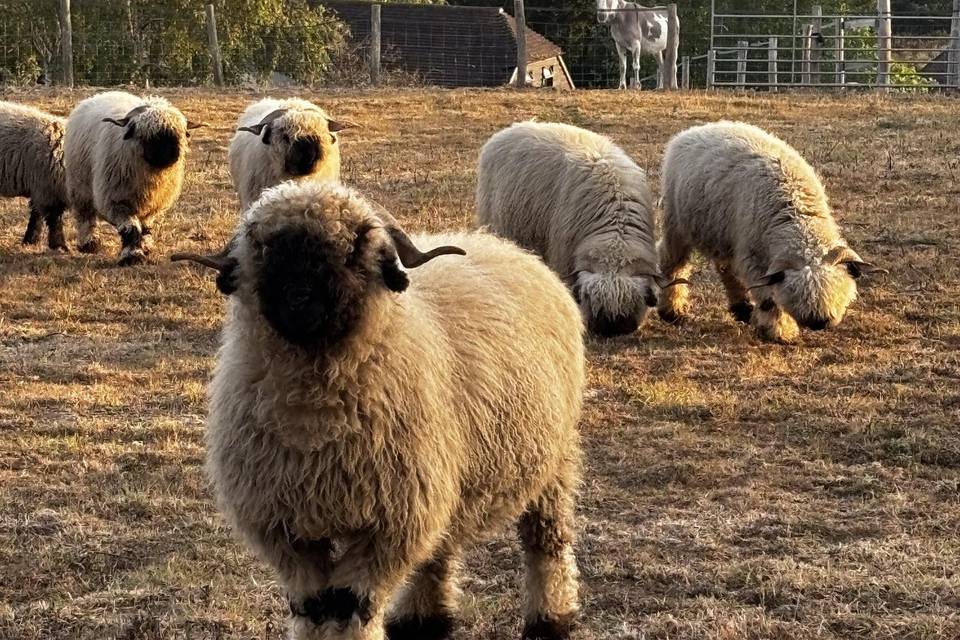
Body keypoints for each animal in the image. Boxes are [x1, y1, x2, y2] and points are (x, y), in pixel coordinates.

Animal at [0, 101, 69, 251]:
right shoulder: (48, 190)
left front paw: (30, 240)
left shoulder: (41, 189)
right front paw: (59, 245)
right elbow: (54, 219)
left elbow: (36, 215)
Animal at [64, 91, 202, 266]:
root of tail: (101, 94)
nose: (168, 156)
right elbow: (130, 228)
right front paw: (132, 256)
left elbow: (146, 227)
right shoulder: (116, 201)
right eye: (146, 135)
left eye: (180, 135)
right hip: (80, 185)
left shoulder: (153, 204)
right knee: (85, 216)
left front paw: (145, 247)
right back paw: (89, 243)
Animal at [171, 180, 585, 640]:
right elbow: (313, 606)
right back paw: (423, 619)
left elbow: (352, 606)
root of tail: (504, 245)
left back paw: (551, 618)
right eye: (263, 247)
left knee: (547, 541)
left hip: (553, 462)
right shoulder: (286, 530)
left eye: (354, 247)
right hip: (447, 478)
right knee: (439, 547)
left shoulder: (386, 527)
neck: (316, 422)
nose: (299, 299)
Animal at [658, 121, 885, 343]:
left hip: (722, 233)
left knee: (726, 269)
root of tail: (696, 129)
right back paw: (672, 312)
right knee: (673, 263)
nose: (819, 322)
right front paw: (780, 333)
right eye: (796, 293)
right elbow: (769, 300)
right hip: (676, 224)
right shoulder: (753, 258)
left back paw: (741, 308)